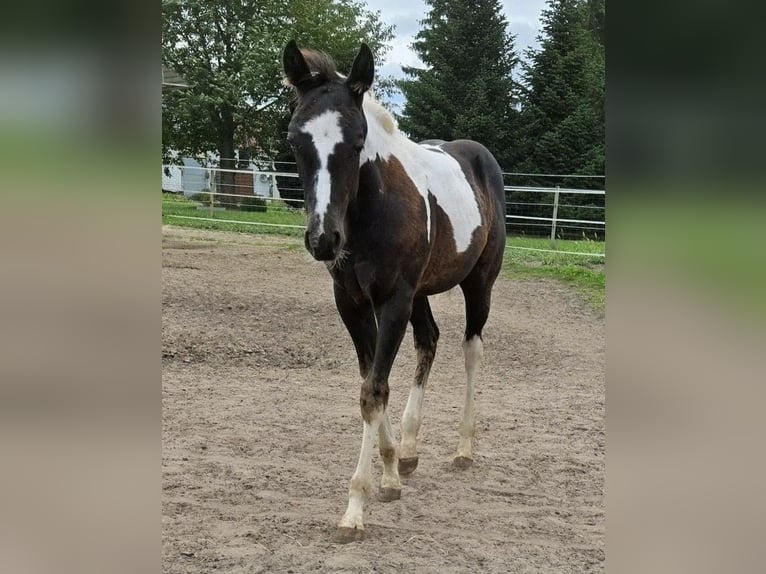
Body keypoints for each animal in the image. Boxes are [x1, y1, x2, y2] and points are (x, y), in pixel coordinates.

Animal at [282, 40, 506, 544]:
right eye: (295, 140)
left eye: (357, 142)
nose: (324, 240)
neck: (369, 212)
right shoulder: (352, 304)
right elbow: (370, 382)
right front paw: (389, 474)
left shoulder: (393, 302)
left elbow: (373, 391)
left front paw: (354, 509)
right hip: (421, 295)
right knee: (430, 341)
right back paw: (409, 450)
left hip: (478, 284)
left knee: (472, 349)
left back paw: (463, 448)